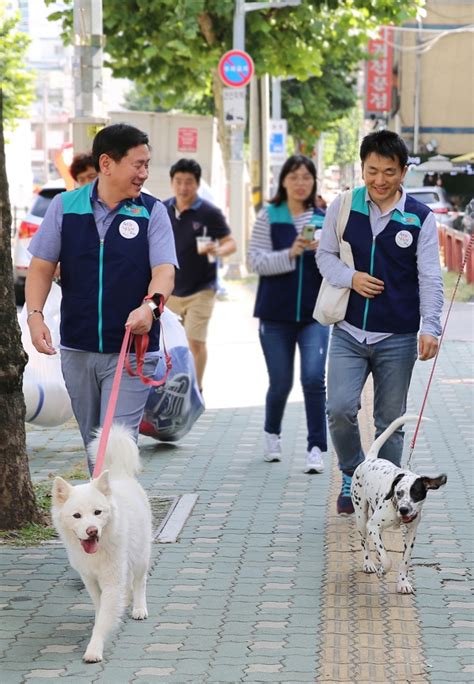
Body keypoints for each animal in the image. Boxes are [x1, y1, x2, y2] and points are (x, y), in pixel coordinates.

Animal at [51, 422, 152, 664]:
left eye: (98, 512)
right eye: (77, 516)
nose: (92, 531)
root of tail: (119, 475)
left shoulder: (111, 580)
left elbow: (105, 615)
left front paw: (94, 649)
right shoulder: (89, 578)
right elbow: (99, 606)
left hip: (140, 556)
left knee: (139, 582)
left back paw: (139, 608)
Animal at [352, 414, 448, 596]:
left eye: (416, 493)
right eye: (399, 493)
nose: (404, 510)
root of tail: (370, 459)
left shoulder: (411, 534)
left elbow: (404, 560)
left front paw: (403, 582)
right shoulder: (373, 525)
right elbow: (386, 559)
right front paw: (382, 568)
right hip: (361, 516)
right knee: (364, 541)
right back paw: (369, 563)